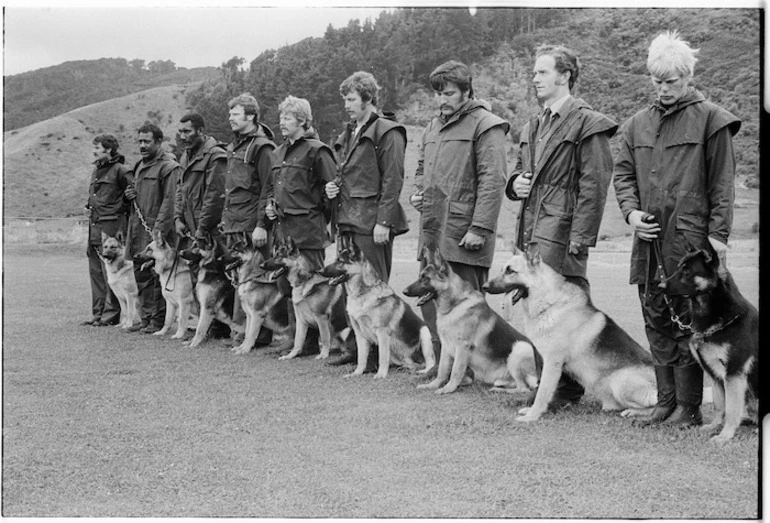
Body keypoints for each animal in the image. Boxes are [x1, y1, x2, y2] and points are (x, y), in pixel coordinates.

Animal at [318, 237, 436, 380]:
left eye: (340, 261)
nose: (319, 271)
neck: (362, 293)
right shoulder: (359, 333)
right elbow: (362, 358)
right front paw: (357, 373)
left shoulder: (382, 332)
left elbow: (382, 356)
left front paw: (381, 374)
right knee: (410, 364)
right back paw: (408, 368)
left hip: (425, 333)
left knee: (430, 362)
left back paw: (423, 371)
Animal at [402, 248, 536, 396]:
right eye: (420, 276)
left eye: (426, 278)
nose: (404, 291)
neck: (455, 305)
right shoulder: (446, 346)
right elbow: (442, 370)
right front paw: (433, 385)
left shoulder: (462, 347)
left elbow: (455, 371)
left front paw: (448, 388)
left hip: (520, 349)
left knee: (524, 388)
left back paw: (501, 391)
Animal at [480, 246, 656, 422]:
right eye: (502, 269)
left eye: (511, 271)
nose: (484, 286)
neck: (549, 303)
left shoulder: (552, 363)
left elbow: (542, 393)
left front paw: (532, 416)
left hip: (620, 382)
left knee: (656, 404)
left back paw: (636, 412)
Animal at [660, 244, 756, 444]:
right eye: (679, 267)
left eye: (687, 270)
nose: (660, 286)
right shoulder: (714, 374)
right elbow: (720, 405)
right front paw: (715, 426)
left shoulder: (734, 374)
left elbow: (731, 408)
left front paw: (725, 435)